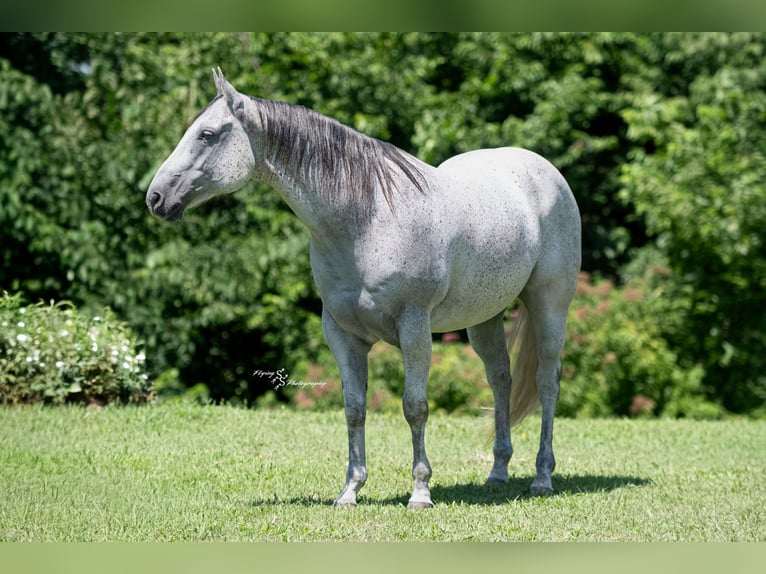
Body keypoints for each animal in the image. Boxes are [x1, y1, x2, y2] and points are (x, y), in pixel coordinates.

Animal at [146, 68, 581, 509]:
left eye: (207, 134)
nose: (156, 197)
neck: (367, 219)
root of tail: (544, 170)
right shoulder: (342, 334)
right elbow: (354, 408)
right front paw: (350, 491)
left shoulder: (414, 327)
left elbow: (415, 407)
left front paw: (420, 492)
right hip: (485, 318)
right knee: (500, 380)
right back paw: (497, 472)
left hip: (549, 306)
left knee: (547, 382)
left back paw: (542, 477)